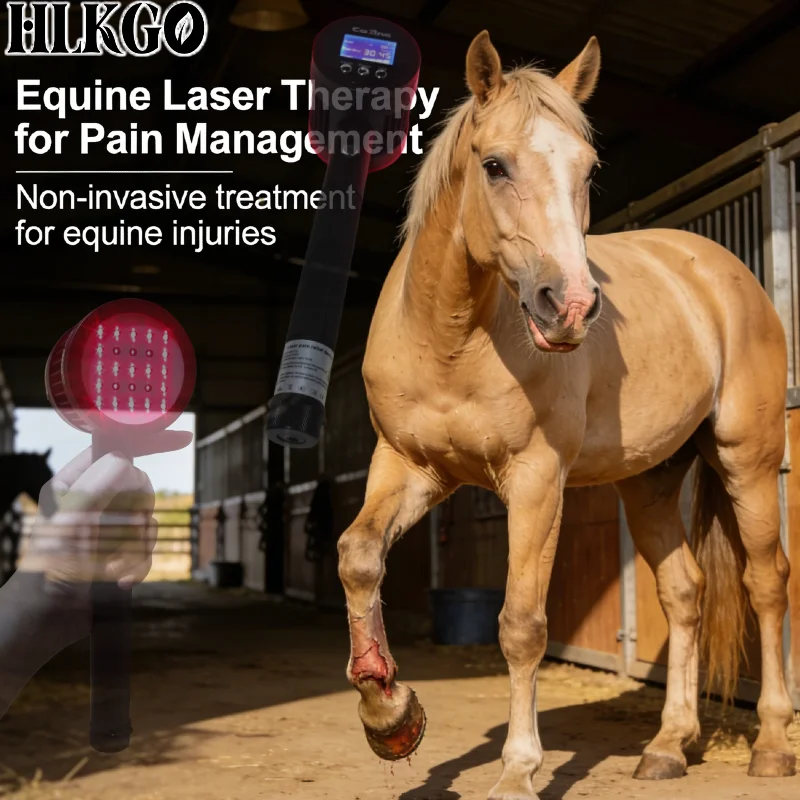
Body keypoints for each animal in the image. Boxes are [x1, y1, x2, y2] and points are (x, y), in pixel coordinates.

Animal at [335, 31, 795, 800]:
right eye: (494, 165)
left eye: (587, 168)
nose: (571, 306)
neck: (451, 339)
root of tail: (720, 270)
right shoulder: (408, 466)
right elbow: (359, 557)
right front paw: (390, 717)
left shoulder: (535, 481)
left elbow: (522, 623)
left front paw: (518, 771)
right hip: (651, 480)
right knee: (684, 592)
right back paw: (668, 745)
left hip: (747, 459)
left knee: (766, 582)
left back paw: (771, 743)